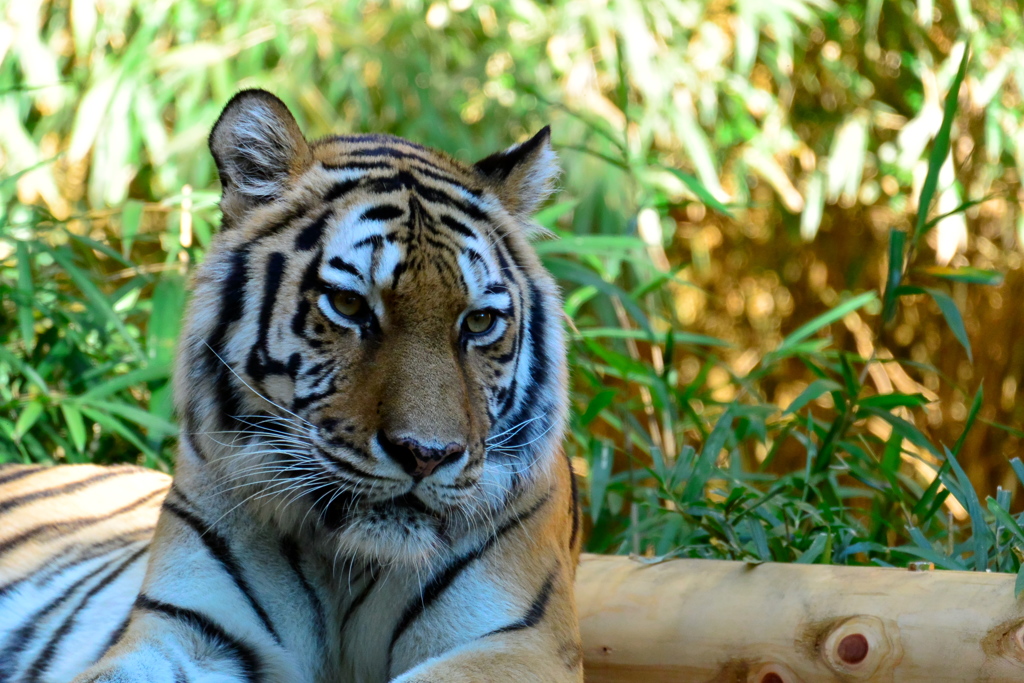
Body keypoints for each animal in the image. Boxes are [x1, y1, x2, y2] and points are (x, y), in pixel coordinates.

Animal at [0, 90, 581, 683]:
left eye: (479, 322)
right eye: (348, 304)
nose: (426, 454)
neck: (349, 564)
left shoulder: (517, 643)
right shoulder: (191, 629)